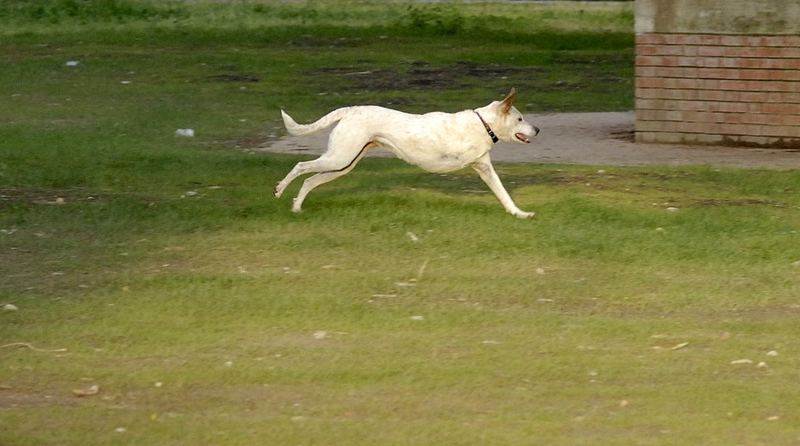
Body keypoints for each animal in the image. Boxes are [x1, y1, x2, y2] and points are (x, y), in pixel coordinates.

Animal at [272, 87, 540, 218]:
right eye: (520, 118)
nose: (537, 129)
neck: (483, 124)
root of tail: (351, 109)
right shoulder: (475, 162)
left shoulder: (484, 167)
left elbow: (504, 194)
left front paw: (519, 213)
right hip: (338, 158)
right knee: (300, 167)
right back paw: (279, 189)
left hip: (343, 164)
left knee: (309, 180)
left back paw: (296, 208)